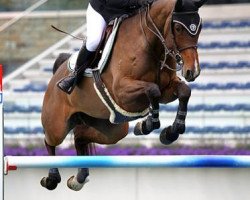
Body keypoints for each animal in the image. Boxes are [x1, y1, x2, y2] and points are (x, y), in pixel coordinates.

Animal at [40, 0, 205, 191]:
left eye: (199, 27)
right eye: (178, 28)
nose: (192, 71)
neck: (151, 44)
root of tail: (57, 73)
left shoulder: (166, 90)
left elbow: (184, 91)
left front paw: (170, 132)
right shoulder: (122, 92)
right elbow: (153, 90)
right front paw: (147, 124)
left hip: (111, 129)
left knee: (80, 136)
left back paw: (78, 179)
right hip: (57, 124)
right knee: (50, 140)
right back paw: (52, 178)